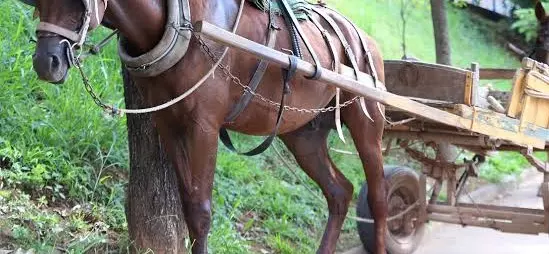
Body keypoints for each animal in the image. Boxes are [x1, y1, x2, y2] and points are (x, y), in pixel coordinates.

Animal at [28, 0, 386, 252]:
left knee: (378, 196)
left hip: (367, 122)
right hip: (302, 134)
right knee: (339, 192)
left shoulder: (204, 127)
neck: (183, 23)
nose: (47, 62)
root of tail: (367, 39)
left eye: (79, 1)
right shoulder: (169, 123)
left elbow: (201, 213)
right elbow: (189, 207)